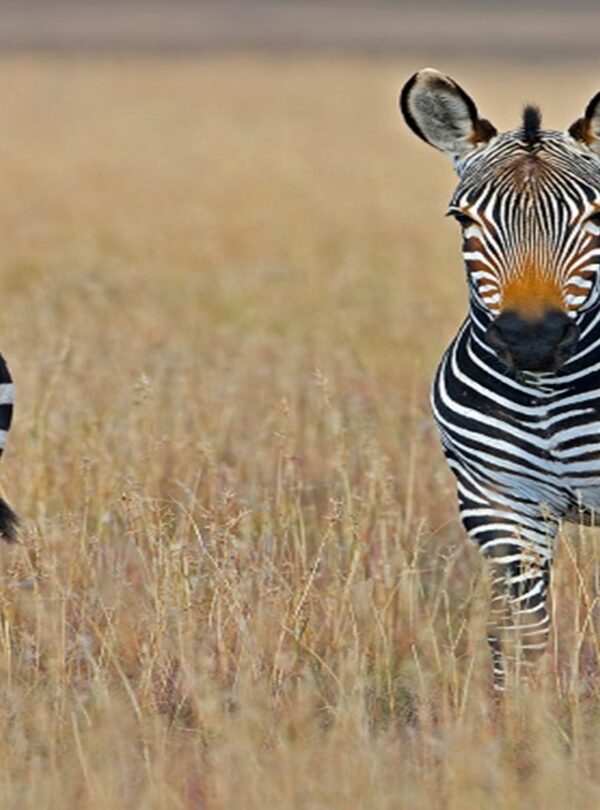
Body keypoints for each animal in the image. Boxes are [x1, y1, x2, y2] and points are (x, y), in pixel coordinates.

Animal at [400, 68, 600, 688]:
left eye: (597, 218)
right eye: (464, 219)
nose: (532, 340)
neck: (546, 395)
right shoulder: (500, 504)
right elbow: (521, 639)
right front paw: (520, 714)